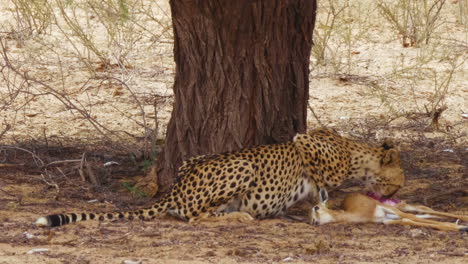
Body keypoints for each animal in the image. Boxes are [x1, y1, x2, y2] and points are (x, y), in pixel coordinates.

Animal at [35, 128, 406, 227]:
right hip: (243, 165)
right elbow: (318, 176)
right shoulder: (304, 141)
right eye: (397, 182)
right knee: (195, 217)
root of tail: (176, 188)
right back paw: (240, 216)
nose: (393, 194)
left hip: (193, 159)